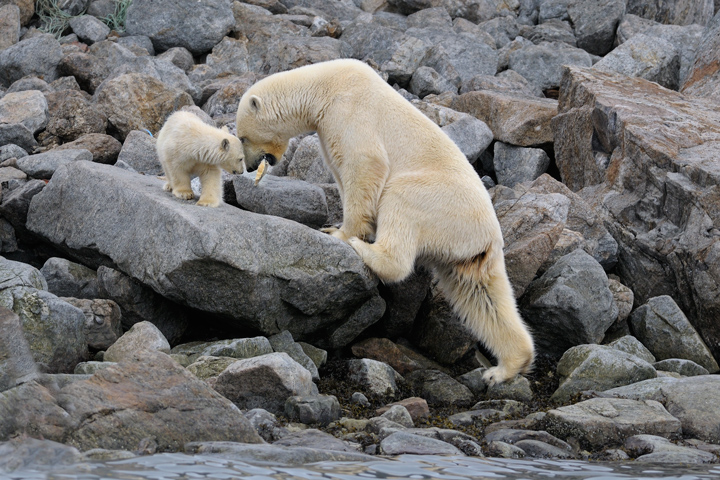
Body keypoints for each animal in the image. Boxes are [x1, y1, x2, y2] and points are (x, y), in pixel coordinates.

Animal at [235, 59, 535, 384]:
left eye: (242, 137)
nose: (249, 166)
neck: (323, 86)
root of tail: (487, 236)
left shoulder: (349, 112)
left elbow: (363, 165)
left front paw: (339, 233)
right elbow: (341, 173)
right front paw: (336, 225)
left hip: (442, 202)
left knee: (401, 202)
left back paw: (365, 250)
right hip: (466, 251)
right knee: (480, 295)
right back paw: (504, 368)